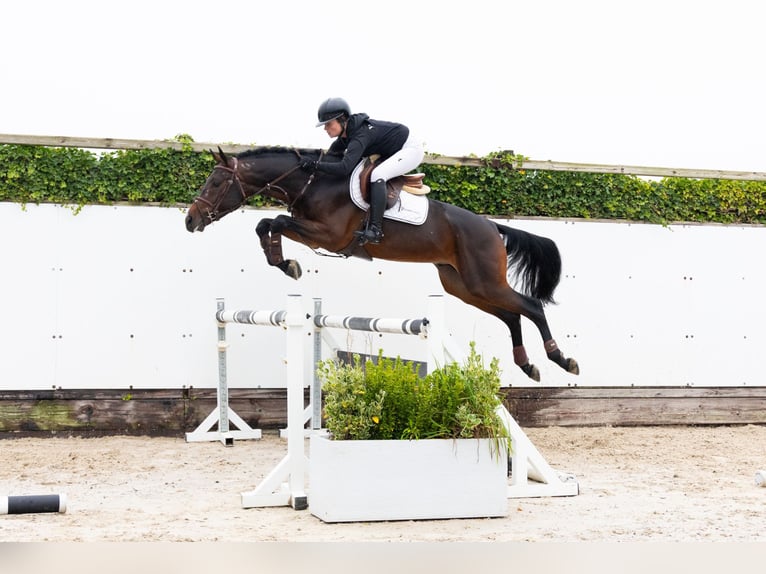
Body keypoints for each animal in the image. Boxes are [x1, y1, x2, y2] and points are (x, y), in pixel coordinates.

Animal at [185, 146, 579, 381]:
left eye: (216, 182)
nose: (191, 220)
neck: (313, 183)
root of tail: (492, 226)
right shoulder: (312, 234)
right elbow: (267, 224)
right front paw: (284, 262)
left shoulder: (330, 236)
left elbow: (277, 221)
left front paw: (286, 264)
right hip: (464, 286)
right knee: (512, 316)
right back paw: (527, 364)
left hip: (484, 281)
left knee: (531, 306)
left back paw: (562, 359)